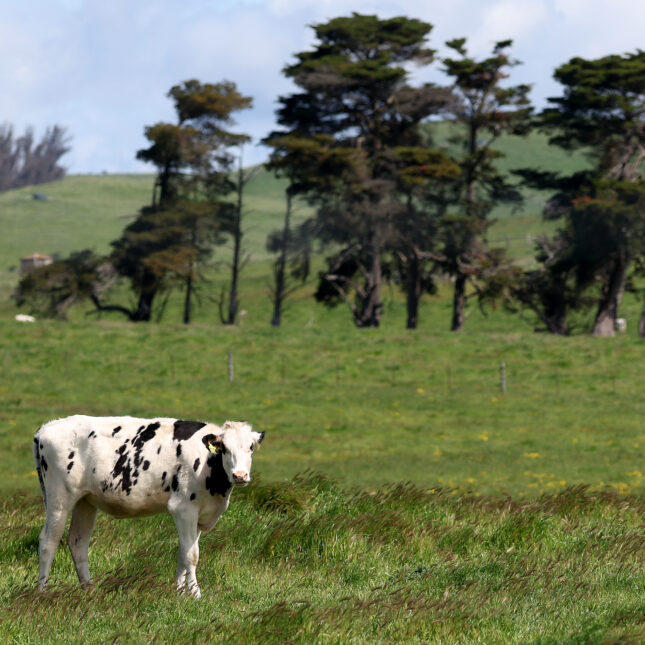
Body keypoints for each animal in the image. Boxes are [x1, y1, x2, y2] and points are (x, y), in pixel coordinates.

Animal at [32, 416, 264, 596]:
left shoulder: (199, 514)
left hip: (85, 500)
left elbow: (183, 551)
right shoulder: (183, 508)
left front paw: (179, 592)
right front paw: (195, 594)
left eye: (251, 447)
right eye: (224, 448)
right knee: (48, 541)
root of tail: (46, 428)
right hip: (59, 497)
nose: (240, 475)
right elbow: (192, 555)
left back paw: (89, 588)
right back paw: (42, 591)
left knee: (78, 541)